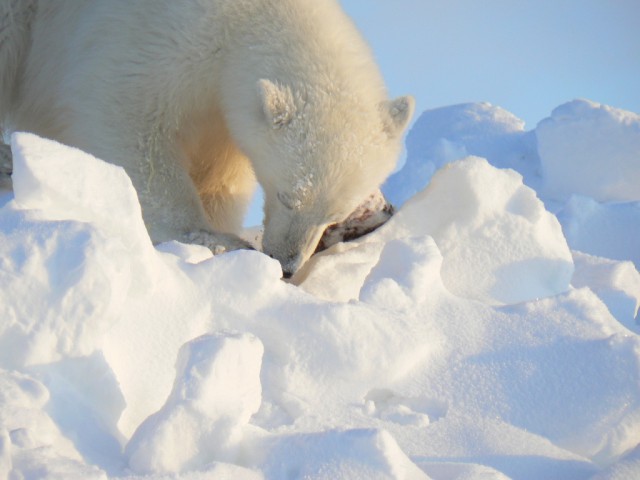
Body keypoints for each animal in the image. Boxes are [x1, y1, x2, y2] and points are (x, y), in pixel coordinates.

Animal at [0, 0, 416, 278]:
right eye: (287, 196)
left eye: (335, 215)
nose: (286, 264)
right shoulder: (160, 37)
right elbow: (128, 116)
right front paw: (212, 240)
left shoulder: (219, 112)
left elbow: (221, 173)